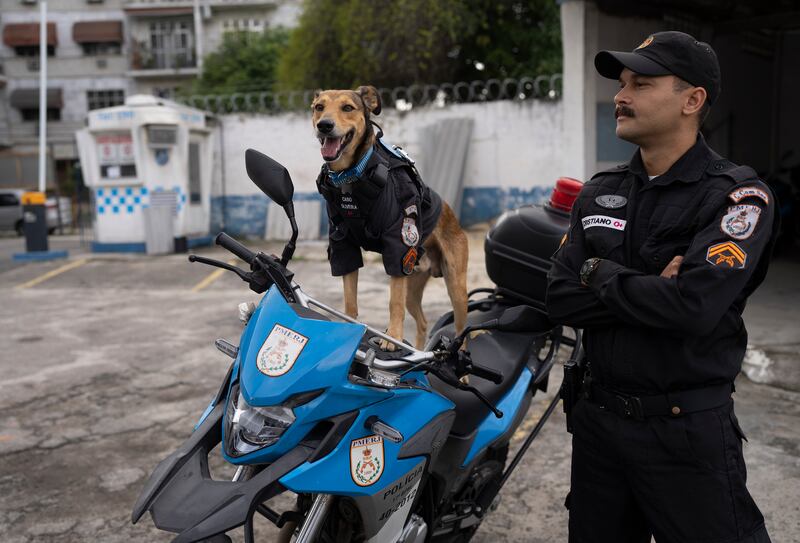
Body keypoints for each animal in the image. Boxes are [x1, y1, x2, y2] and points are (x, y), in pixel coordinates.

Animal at [310, 84, 468, 348]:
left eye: (347, 108)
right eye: (319, 107)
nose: (325, 125)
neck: (353, 175)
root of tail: (453, 217)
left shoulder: (399, 243)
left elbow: (393, 303)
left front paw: (392, 338)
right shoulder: (343, 245)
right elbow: (349, 300)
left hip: (455, 288)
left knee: (462, 333)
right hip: (412, 286)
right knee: (422, 321)